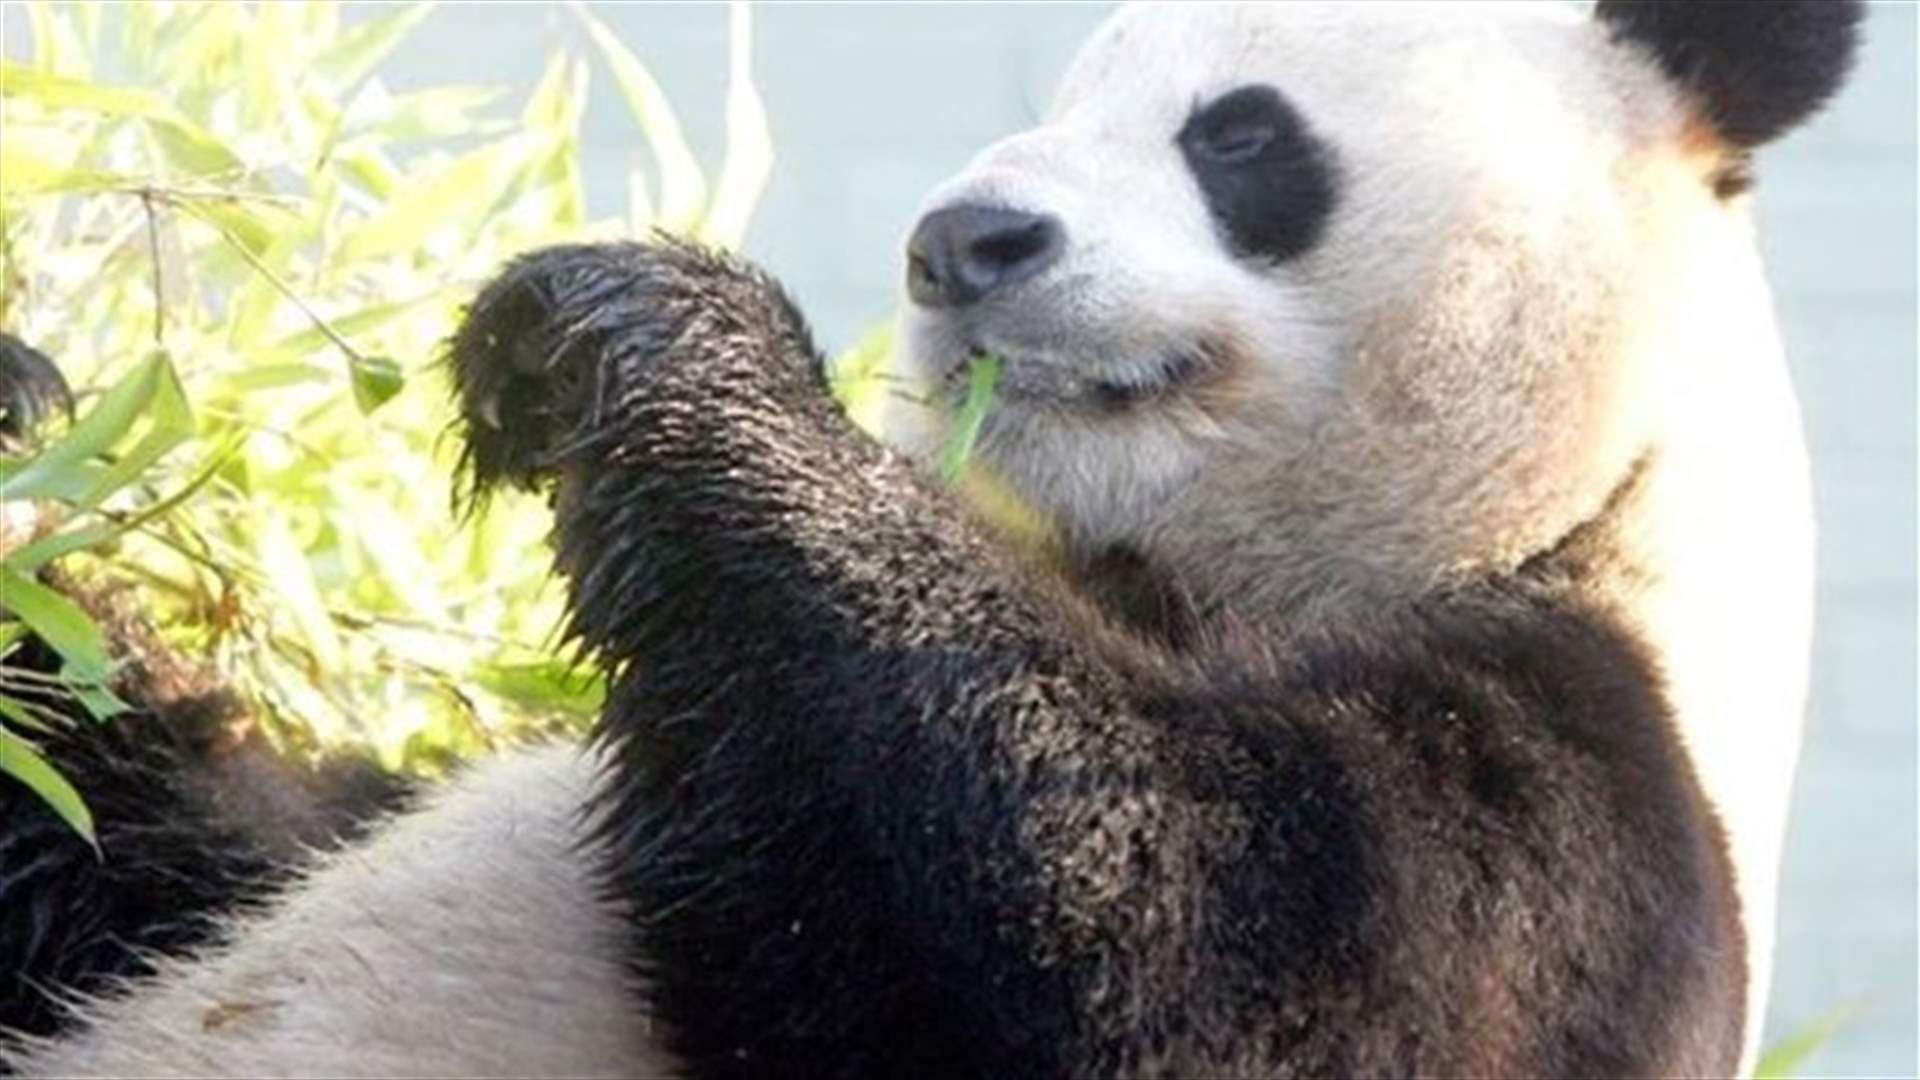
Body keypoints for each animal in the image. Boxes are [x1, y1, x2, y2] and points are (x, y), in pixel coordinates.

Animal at [0, 1, 1860, 1077]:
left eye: (1237, 131)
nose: (965, 240)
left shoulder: (1590, 813)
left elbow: (1170, 949)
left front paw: (638, 335)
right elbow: (162, 839)